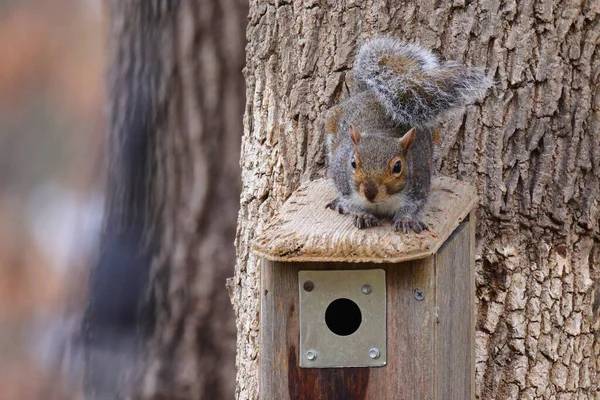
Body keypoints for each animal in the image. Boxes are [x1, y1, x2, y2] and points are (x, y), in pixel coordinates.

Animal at [326, 37, 490, 233]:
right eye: (353, 163)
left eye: (398, 167)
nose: (370, 192)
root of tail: (368, 92)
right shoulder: (342, 178)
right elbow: (349, 201)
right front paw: (361, 214)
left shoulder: (419, 182)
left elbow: (413, 206)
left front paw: (406, 220)